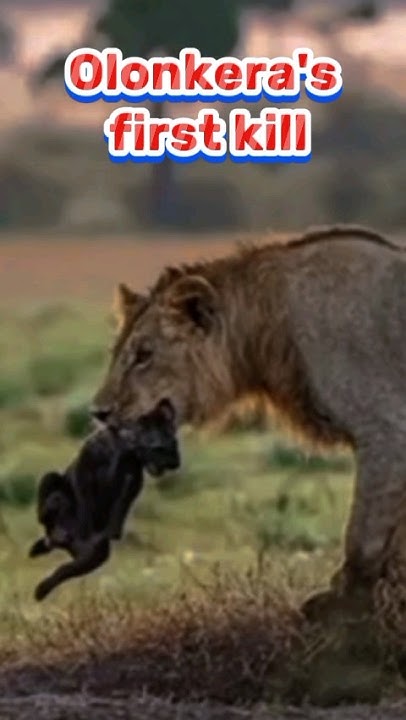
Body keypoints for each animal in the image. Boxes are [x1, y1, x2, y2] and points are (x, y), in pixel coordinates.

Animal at [91, 224, 406, 601]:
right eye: (116, 353)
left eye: (144, 355)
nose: (98, 411)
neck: (270, 320)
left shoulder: (386, 425)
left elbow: (363, 537)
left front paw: (343, 603)